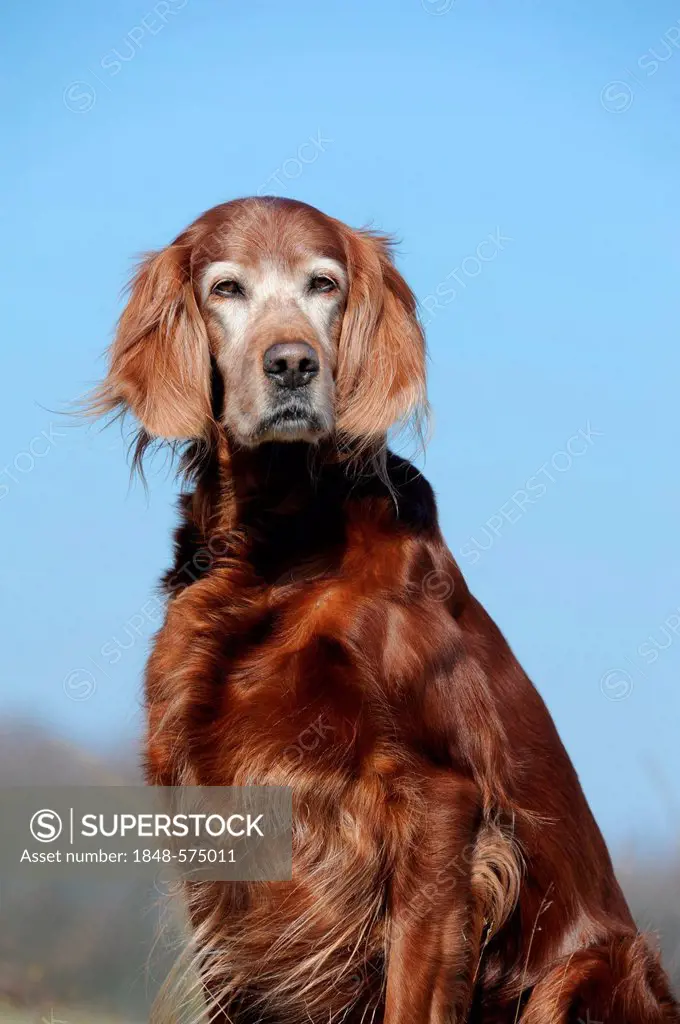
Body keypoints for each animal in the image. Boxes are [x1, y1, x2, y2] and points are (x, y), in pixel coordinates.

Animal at [93, 195, 675, 1019]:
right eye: (226, 288)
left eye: (324, 284)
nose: (293, 364)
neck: (281, 550)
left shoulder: (440, 805)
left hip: (594, 966)